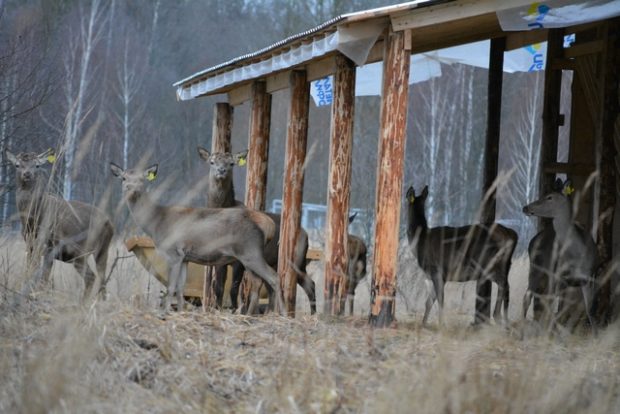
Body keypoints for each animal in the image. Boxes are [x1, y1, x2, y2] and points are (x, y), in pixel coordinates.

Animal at [5, 150, 114, 300]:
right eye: (17, 165)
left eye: (37, 165)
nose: (27, 174)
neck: (31, 220)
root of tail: (109, 223)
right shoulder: (30, 244)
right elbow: (30, 270)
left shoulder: (49, 245)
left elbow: (43, 277)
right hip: (101, 250)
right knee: (101, 278)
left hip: (80, 250)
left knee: (91, 277)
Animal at [110, 162, 284, 314]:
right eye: (124, 178)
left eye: (142, 179)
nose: (131, 189)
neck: (156, 222)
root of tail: (267, 225)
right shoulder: (185, 257)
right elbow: (181, 288)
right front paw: (180, 311)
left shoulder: (173, 253)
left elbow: (171, 287)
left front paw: (165, 312)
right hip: (247, 257)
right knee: (259, 282)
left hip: (250, 252)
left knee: (274, 278)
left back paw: (280, 313)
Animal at [197, 147, 314, 316]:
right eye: (212, 162)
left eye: (231, 163)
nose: (221, 170)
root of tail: (307, 236)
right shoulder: (220, 257)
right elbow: (218, 287)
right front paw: (217, 310)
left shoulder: (238, 261)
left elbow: (234, 289)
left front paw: (235, 310)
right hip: (281, 262)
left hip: (296, 259)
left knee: (307, 284)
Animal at [406, 185, 520, 326]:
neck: (420, 242)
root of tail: (511, 234)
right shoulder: (439, 276)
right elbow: (429, 302)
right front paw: (424, 323)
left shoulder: (436, 270)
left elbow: (440, 300)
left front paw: (441, 324)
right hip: (505, 264)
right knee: (506, 285)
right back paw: (504, 318)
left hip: (488, 262)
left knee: (504, 284)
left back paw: (499, 316)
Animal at [524, 180, 600, 332]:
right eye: (544, 194)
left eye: (549, 197)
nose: (525, 207)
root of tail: (534, 239)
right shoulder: (559, 276)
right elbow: (556, 308)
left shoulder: (588, 278)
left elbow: (588, 309)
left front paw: (595, 334)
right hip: (536, 266)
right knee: (529, 295)